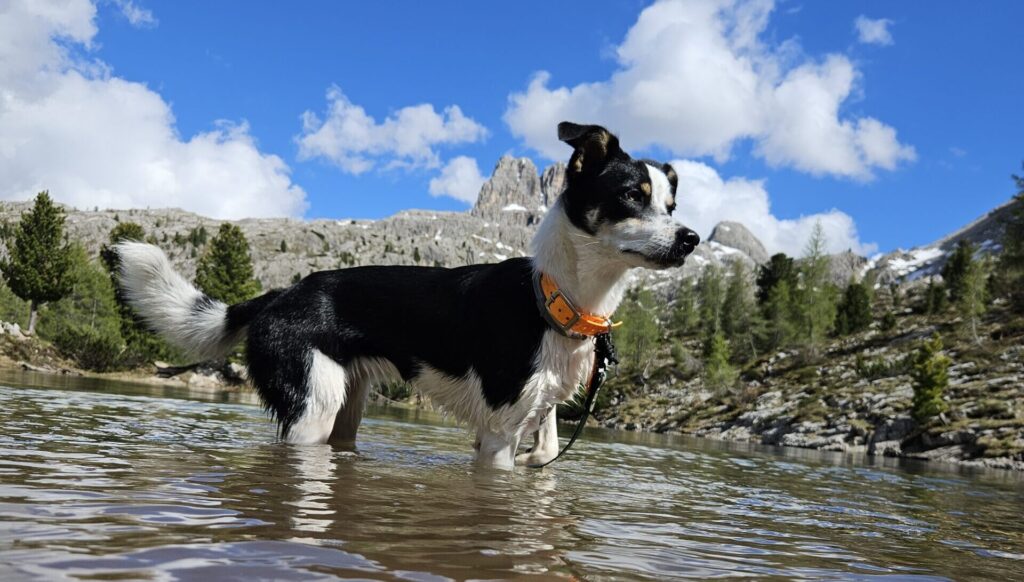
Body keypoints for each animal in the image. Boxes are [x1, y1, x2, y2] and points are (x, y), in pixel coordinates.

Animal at [116, 121, 700, 469]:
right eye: (632, 197)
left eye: (671, 205)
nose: (690, 238)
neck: (551, 296)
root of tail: (280, 293)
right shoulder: (498, 436)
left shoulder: (531, 428)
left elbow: (545, 451)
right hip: (311, 412)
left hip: (346, 408)